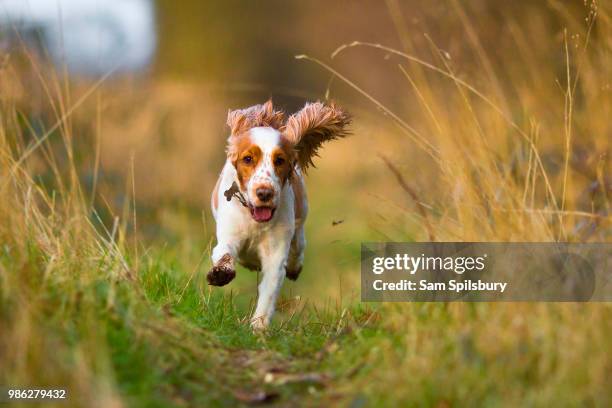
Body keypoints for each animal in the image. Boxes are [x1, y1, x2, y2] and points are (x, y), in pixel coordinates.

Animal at [208, 100, 350, 330]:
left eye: (280, 160)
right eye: (248, 159)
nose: (265, 193)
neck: (255, 220)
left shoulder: (275, 255)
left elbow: (269, 292)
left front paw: (258, 327)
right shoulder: (229, 236)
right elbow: (225, 254)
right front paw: (220, 274)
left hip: (300, 224)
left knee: (298, 247)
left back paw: (294, 267)